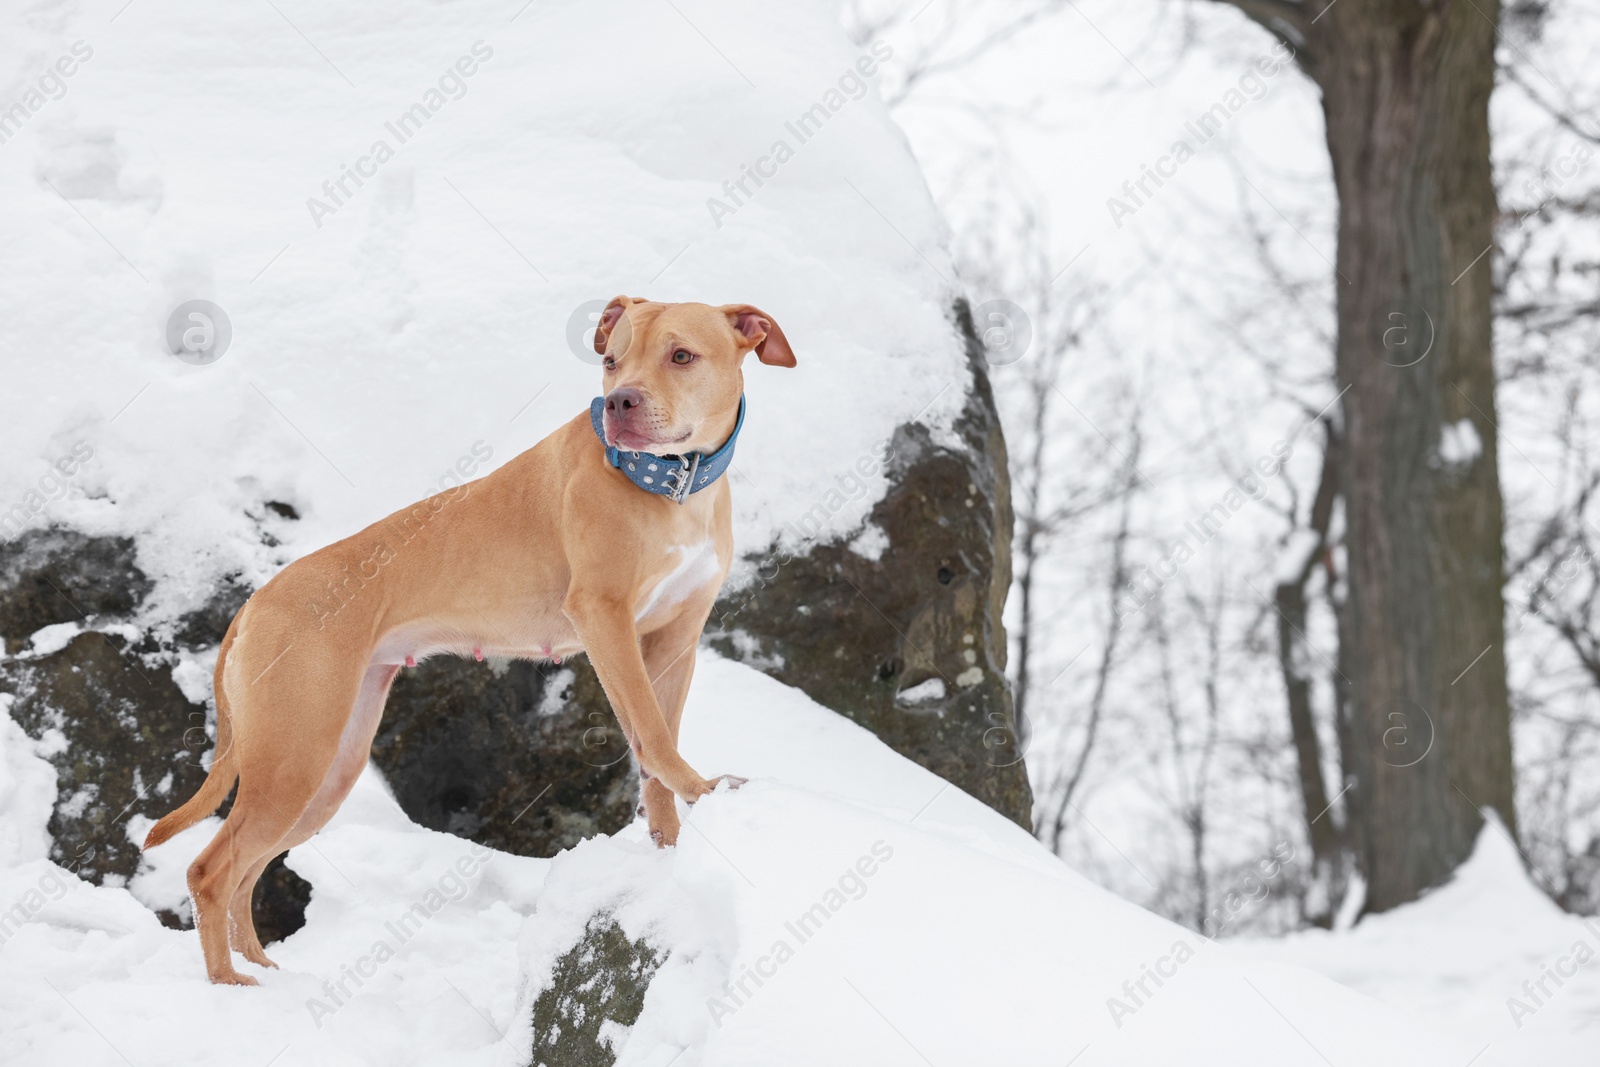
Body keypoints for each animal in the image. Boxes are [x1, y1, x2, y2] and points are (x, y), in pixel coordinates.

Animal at [144, 299, 793, 985]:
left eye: (681, 355)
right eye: (612, 361)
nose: (620, 401)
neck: (673, 484)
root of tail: (254, 603)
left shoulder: (674, 640)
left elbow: (655, 751)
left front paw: (669, 850)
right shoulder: (606, 621)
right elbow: (653, 735)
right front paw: (709, 792)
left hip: (325, 773)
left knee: (246, 874)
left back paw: (265, 977)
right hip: (294, 758)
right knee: (212, 871)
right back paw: (229, 986)